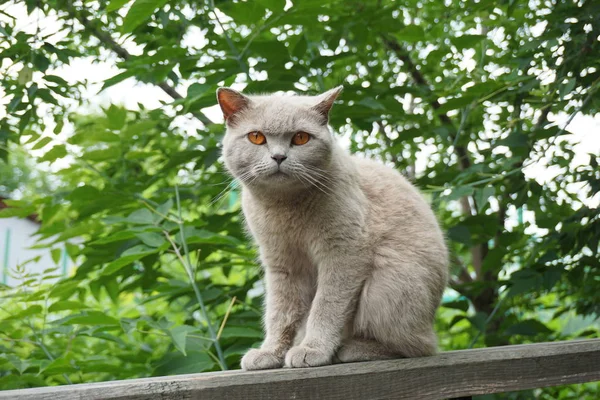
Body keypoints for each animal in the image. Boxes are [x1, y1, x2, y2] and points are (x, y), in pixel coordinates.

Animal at [218, 86, 448, 370]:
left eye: (301, 138)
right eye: (256, 137)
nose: (279, 157)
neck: (286, 207)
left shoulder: (343, 253)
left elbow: (326, 306)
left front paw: (312, 349)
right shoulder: (281, 263)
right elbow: (279, 312)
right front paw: (270, 352)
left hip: (388, 280)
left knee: (419, 347)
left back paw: (351, 349)